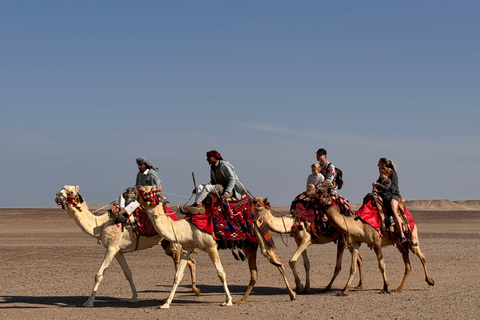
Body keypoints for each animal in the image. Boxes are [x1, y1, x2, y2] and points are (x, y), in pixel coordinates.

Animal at [54, 185, 199, 308]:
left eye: (70, 192)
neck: (100, 225)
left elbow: (99, 275)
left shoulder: (111, 248)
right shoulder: (118, 251)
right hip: (167, 244)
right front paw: (134, 298)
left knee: (181, 265)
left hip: (174, 244)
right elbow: (128, 273)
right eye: (61, 189)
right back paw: (195, 291)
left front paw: (89, 302)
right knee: (190, 262)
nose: (57, 197)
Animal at [137, 186, 296, 308]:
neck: (186, 228)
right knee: (255, 272)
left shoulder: (211, 246)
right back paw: (242, 299)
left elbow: (221, 273)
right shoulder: (187, 248)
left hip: (259, 233)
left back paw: (292, 294)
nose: (132, 191)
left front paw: (228, 301)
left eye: (146, 191)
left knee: (277, 262)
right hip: (249, 244)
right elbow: (177, 276)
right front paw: (166, 303)